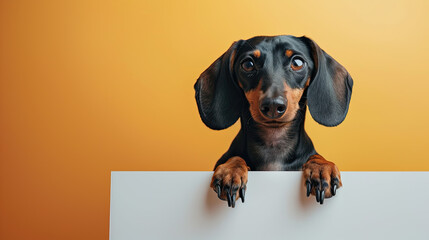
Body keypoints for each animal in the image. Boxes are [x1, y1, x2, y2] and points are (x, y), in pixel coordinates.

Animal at [193, 34, 352, 207]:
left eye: (297, 63)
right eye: (248, 64)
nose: (273, 105)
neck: (274, 145)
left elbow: (314, 156)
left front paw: (322, 167)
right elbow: (235, 157)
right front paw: (230, 170)